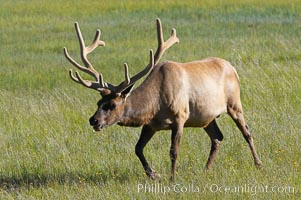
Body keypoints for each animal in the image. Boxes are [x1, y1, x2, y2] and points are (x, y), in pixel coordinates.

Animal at [62, 19, 260, 181]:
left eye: (112, 105)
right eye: (98, 103)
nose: (93, 120)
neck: (155, 105)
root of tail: (232, 68)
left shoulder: (180, 116)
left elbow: (173, 151)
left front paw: (172, 178)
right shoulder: (150, 124)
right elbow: (138, 148)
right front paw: (153, 174)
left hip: (234, 104)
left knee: (247, 132)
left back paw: (258, 164)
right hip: (207, 117)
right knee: (218, 137)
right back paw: (206, 170)